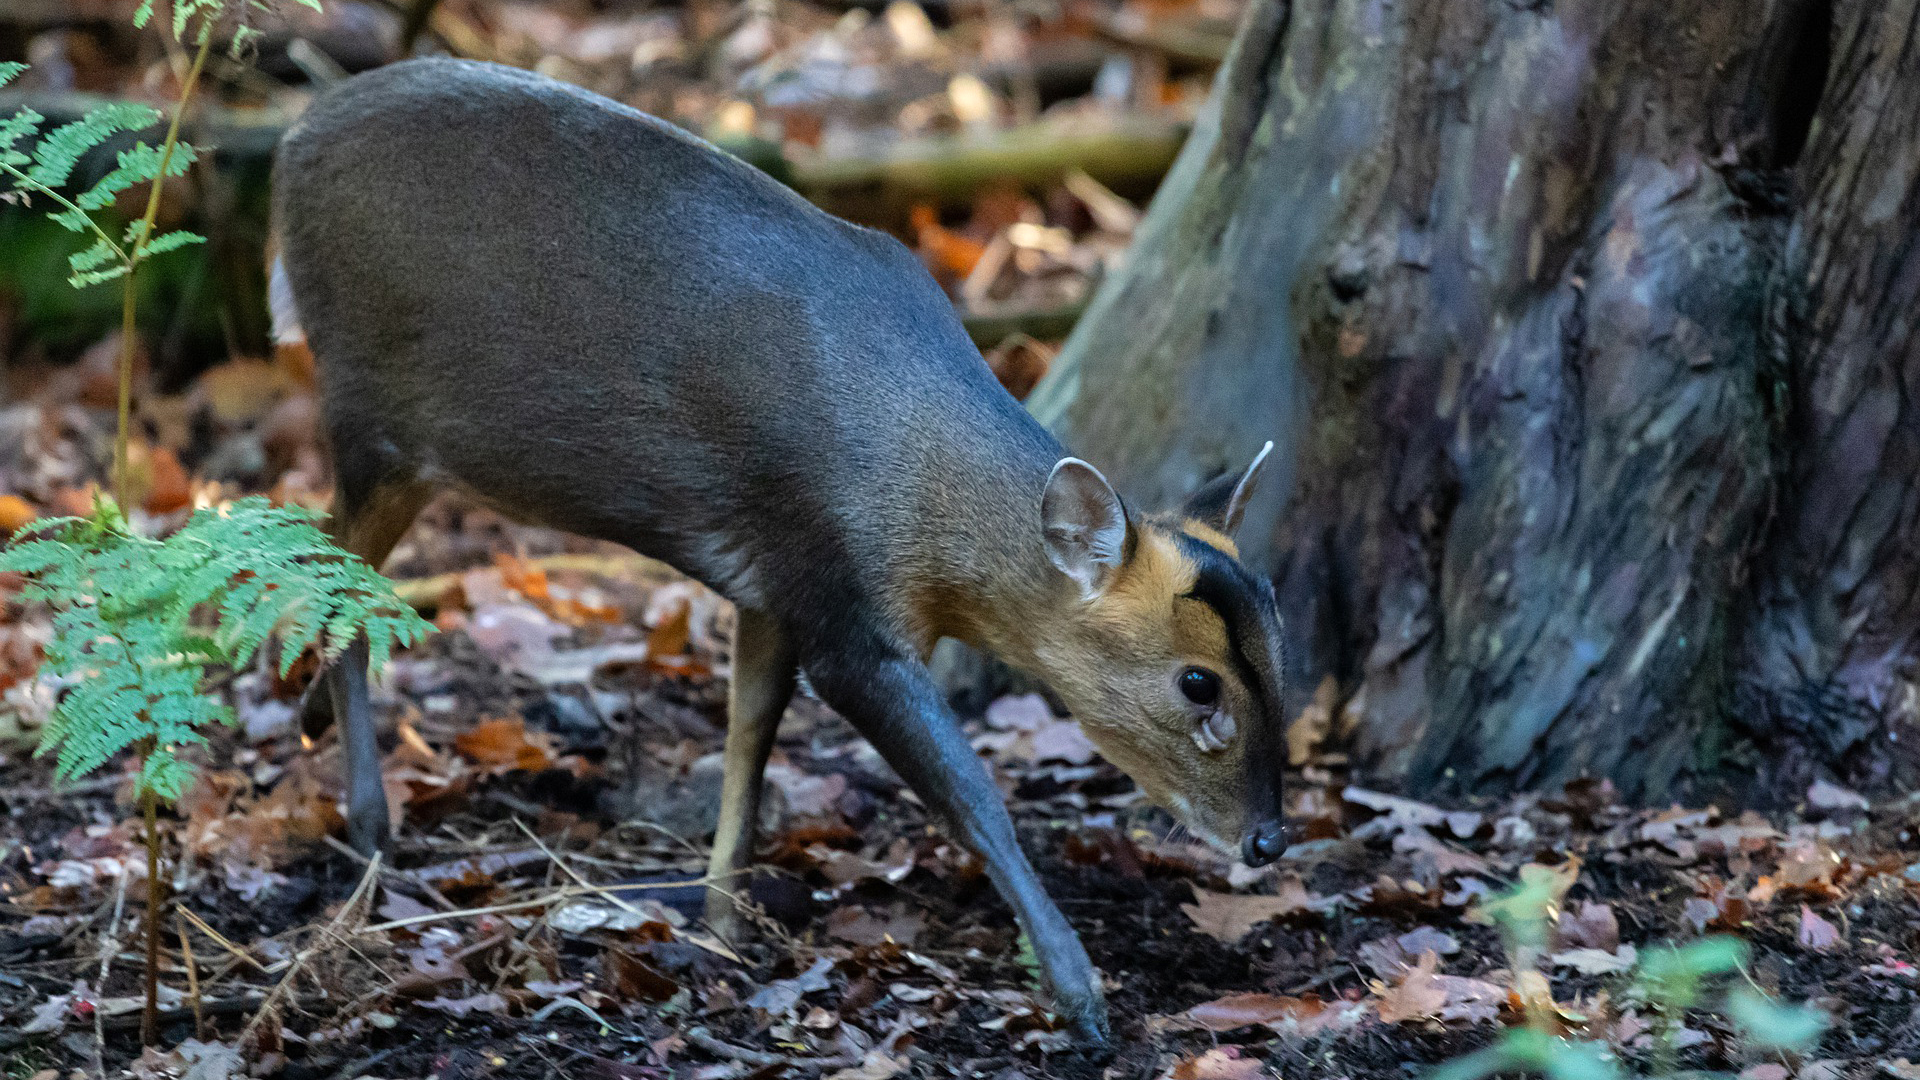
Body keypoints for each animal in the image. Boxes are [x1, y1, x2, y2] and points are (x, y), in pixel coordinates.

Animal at [270, 54, 1290, 1037]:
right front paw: (1080, 995)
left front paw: (721, 922)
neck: (918, 491)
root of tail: (290, 142)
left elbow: (749, 733)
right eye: (1197, 683)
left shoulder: (773, 582)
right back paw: (368, 827)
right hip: (368, 415)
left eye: (1284, 647)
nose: (1271, 839)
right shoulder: (845, 613)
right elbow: (973, 796)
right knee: (325, 569)